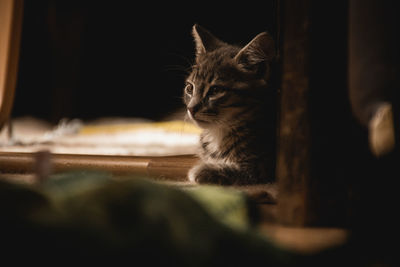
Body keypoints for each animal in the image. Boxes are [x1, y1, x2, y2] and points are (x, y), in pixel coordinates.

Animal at [184, 24, 276, 185]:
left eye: (215, 90)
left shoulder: (265, 165)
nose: (190, 108)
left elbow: (241, 170)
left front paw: (202, 170)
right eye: (190, 88)